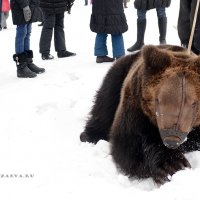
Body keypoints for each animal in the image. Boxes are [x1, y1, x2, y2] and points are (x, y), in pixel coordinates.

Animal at [79, 45, 200, 184]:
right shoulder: (136, 106)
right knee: (105, 105)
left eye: (193, 103)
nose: (172, 140)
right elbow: (132, 143)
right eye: (158, 100)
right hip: (117, 76)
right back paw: (89, 135)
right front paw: (172, 165)